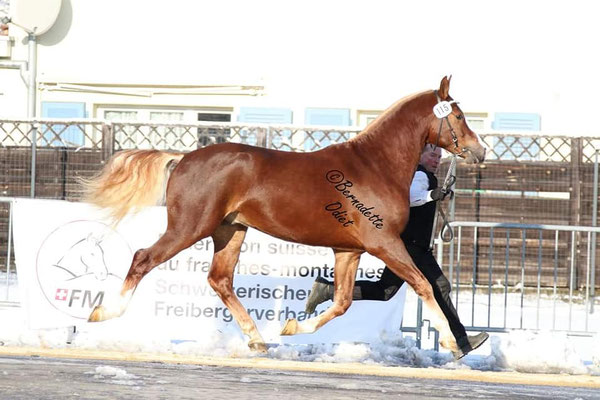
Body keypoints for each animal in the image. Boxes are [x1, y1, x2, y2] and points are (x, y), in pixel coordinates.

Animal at [85, 76, 488, 352]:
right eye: (458, 115)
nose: (480, 150)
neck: (375, 165)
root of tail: (183, 157)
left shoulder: (349, 250)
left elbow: (342, 301)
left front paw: (293, 327)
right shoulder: (383, 242)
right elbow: (423, 284)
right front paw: (452, 343)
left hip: (230, 231)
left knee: (220, 280)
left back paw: (257, 340)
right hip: (189, 226)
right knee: (143, 258)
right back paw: (103, 313)